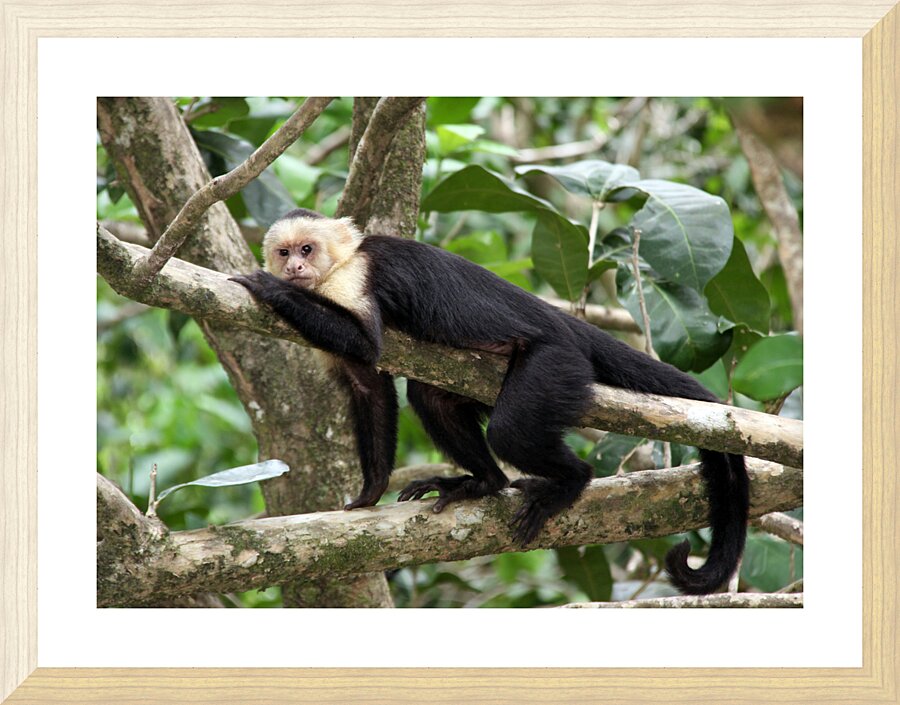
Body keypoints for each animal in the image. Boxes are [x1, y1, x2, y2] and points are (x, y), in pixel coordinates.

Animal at [230, 208, 749, 595]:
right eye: (284, 251)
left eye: (307, 249)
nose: (293, 268)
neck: (335, 271)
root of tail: (564, 322)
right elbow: (368, 385)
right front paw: (370, 491)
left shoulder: (352, 278)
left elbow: (364, 343)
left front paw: (270, 288)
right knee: (431, 398)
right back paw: (483, 482)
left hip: (556, 362)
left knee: (511, 433)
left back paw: (570, 482)